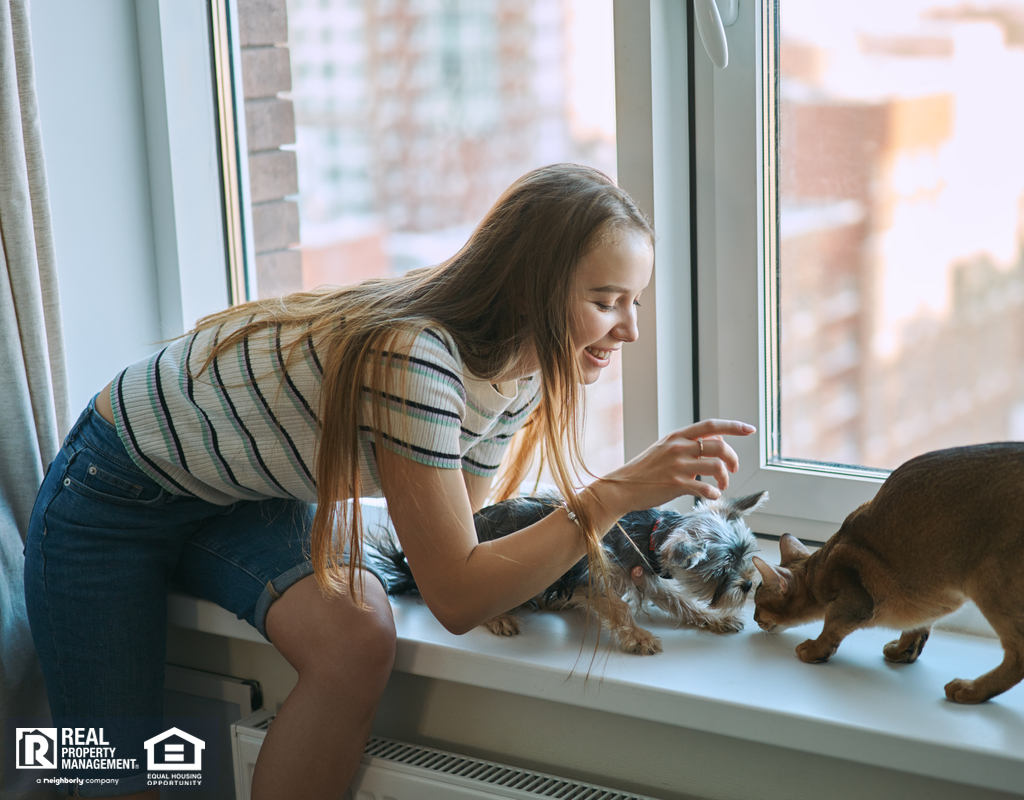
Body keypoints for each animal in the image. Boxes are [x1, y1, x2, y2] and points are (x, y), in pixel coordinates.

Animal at [753, 440, 1024, 700]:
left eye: (757, 603)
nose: (755, 619)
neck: (817, 571)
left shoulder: (854, 598)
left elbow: (832, 625)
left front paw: (815, 649)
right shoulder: (926, 597)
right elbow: (919, 626)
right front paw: (904, 650)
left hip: (991, 582)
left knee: (1019, 655)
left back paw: (971, 689)